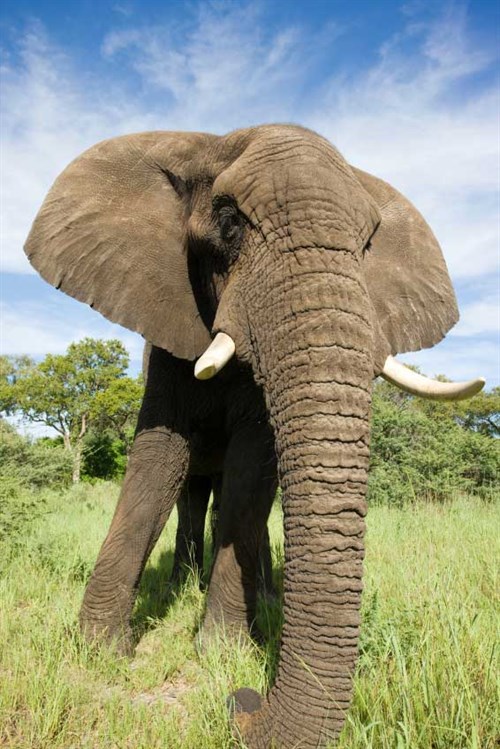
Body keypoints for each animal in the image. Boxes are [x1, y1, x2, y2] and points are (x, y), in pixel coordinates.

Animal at [24, 124, 485, 748]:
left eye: (367, 244)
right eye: (230, 224)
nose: (243, 701)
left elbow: (253, 470)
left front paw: (222, 652)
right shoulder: (168, 320)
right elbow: (157, 459)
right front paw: (101, 650)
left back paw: (258, 601)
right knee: (194, 493)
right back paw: (181, 587)